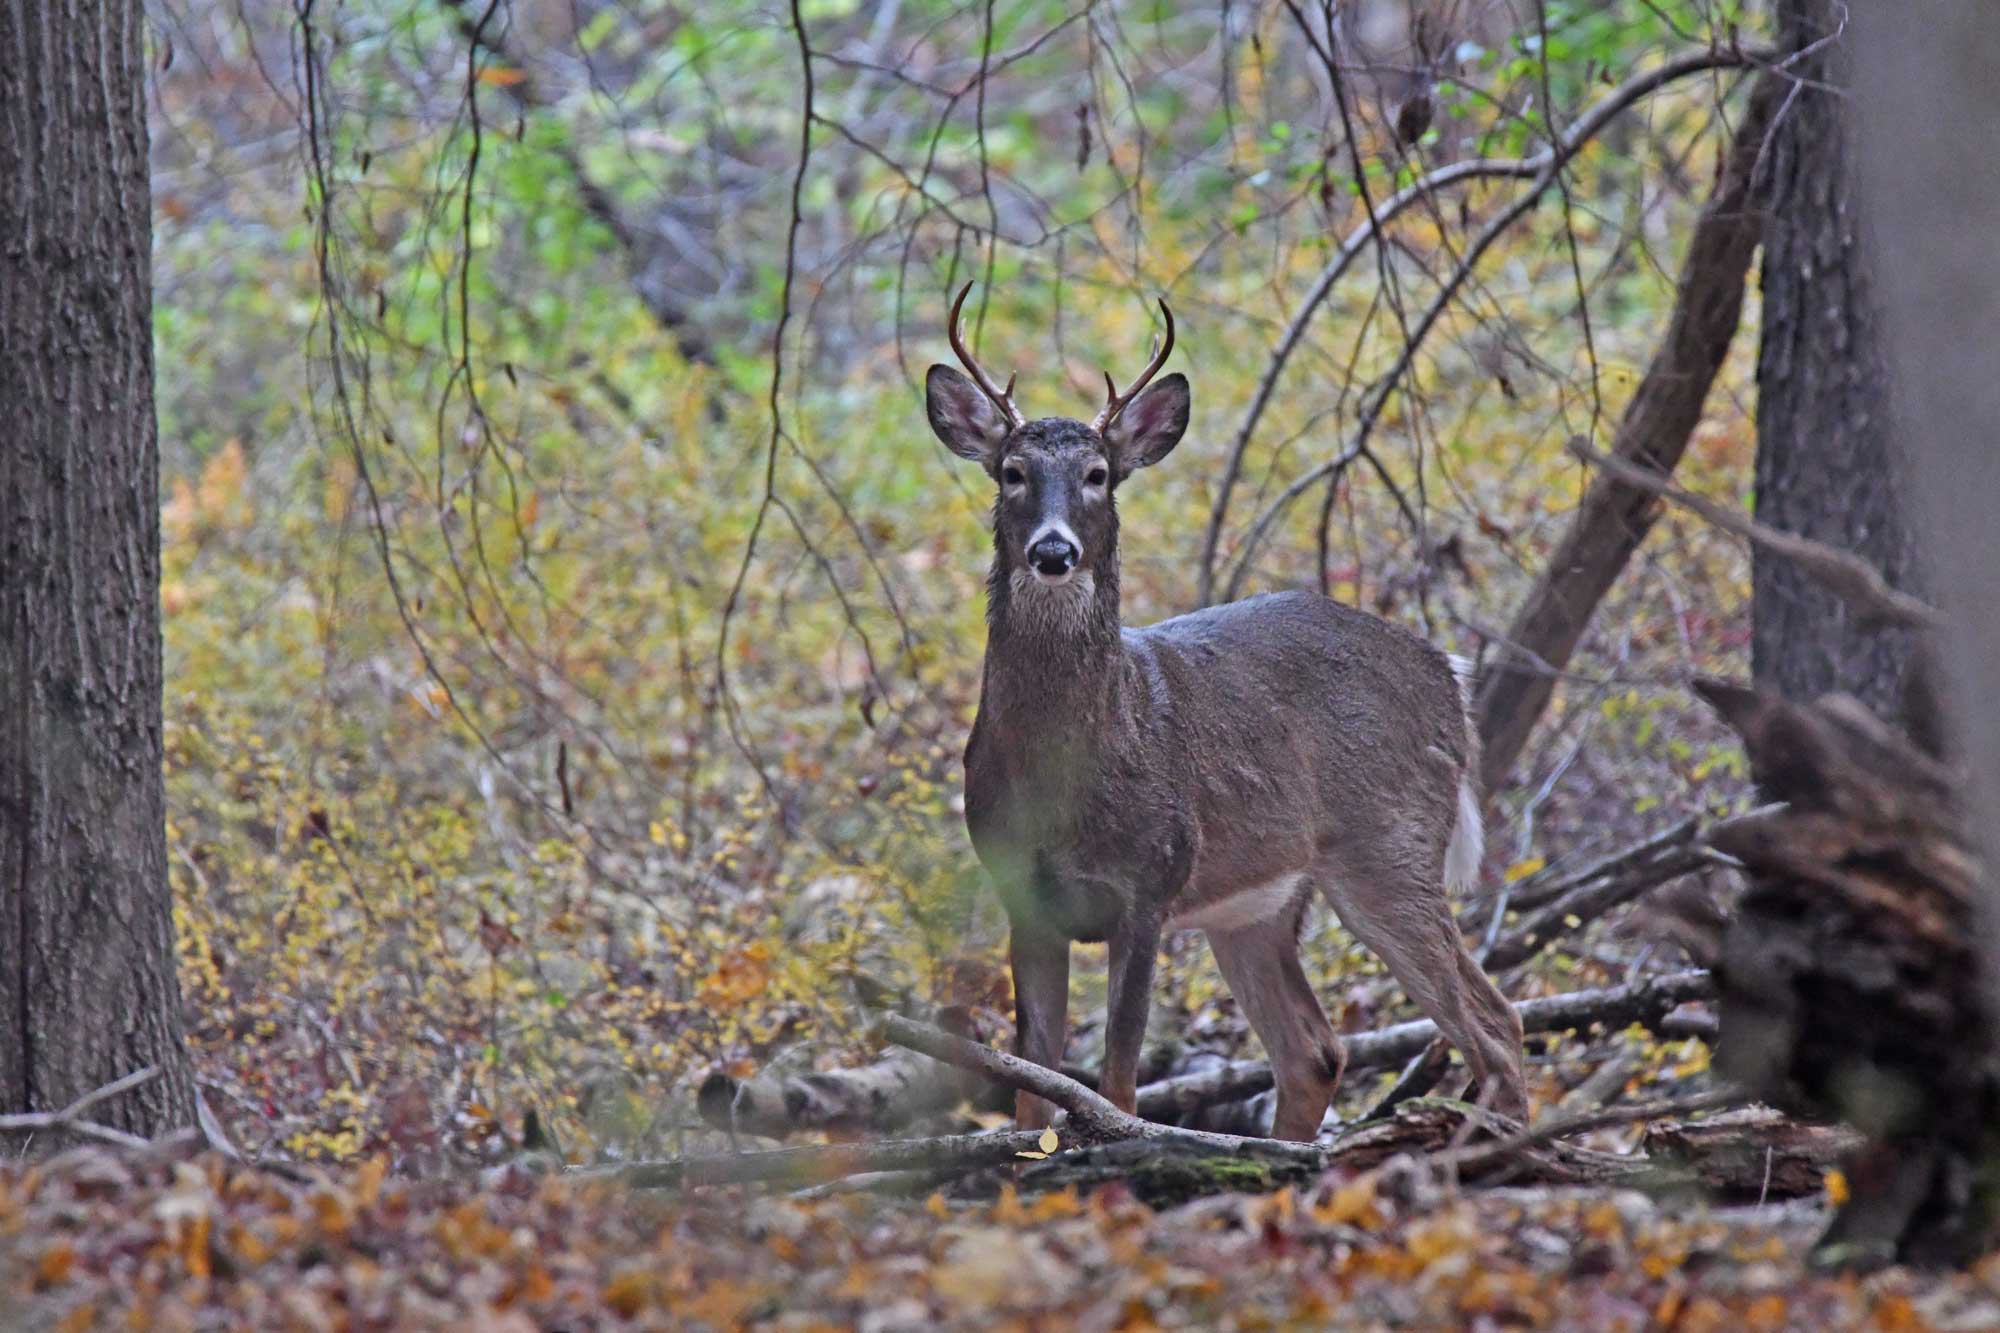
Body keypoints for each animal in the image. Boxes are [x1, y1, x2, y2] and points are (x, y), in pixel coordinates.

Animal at [925, 283, 1528, 1141]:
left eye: (1099, 474)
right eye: (1011, 471)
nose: (1053, 551)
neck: (1065, 781)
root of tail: (1450, 673)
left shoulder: (1149, 883)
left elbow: (1115, 1081)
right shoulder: (1024, 898)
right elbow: (1029, 1083)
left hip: (1390, 845)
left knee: (1497, 1025)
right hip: (1257, 905)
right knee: (1316, 1050)